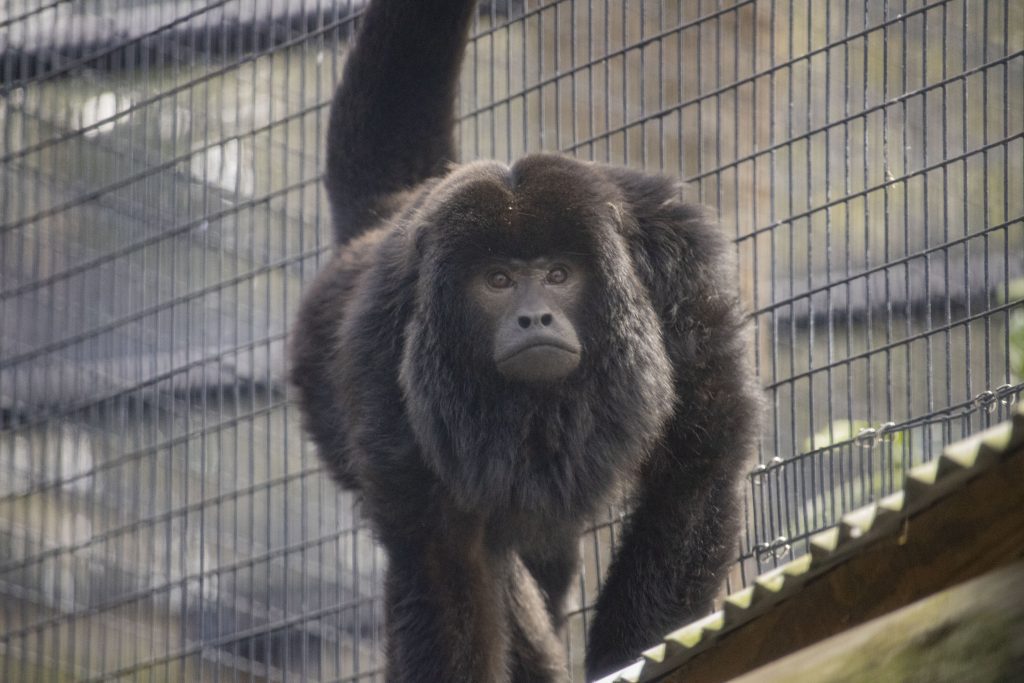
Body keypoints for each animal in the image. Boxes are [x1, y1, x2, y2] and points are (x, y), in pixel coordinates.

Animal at [290, 1, 761, 680]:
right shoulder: (380, 347)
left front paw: (630, 655)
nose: (533, 317)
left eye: (559, 274)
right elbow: (443, 552)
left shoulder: (684, 275)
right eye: (498, 280)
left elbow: (695, 466)